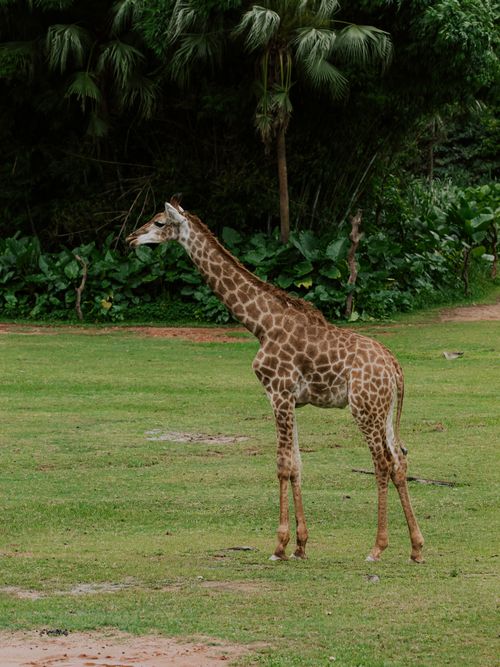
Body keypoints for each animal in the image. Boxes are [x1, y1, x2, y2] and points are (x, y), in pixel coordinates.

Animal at [126, 199, 424, 563]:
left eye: (158, 222)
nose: (131, 238)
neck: (261, 325)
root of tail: (395, 368)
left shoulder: (278, 392)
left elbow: (282, 464)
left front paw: (279, 546)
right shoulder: (291, 400)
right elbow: (297, 464)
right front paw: (300, 545)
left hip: (364, 408)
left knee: (381, 462)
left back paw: (377, 547)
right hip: (385, 411)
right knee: (400, 460)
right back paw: (416, 547)